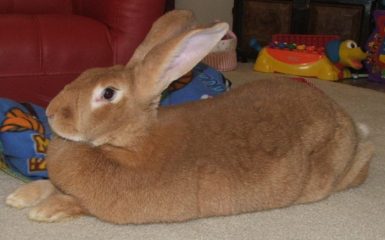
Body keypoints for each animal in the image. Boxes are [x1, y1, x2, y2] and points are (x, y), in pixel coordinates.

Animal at [5, 10, 372, 224]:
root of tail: (344, 119)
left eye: (107, 94)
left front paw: (43, 211)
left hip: (331, 174)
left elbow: (75, 202)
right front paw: (18, 197)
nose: (52, 112)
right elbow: (48, 183)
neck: (130, 143)